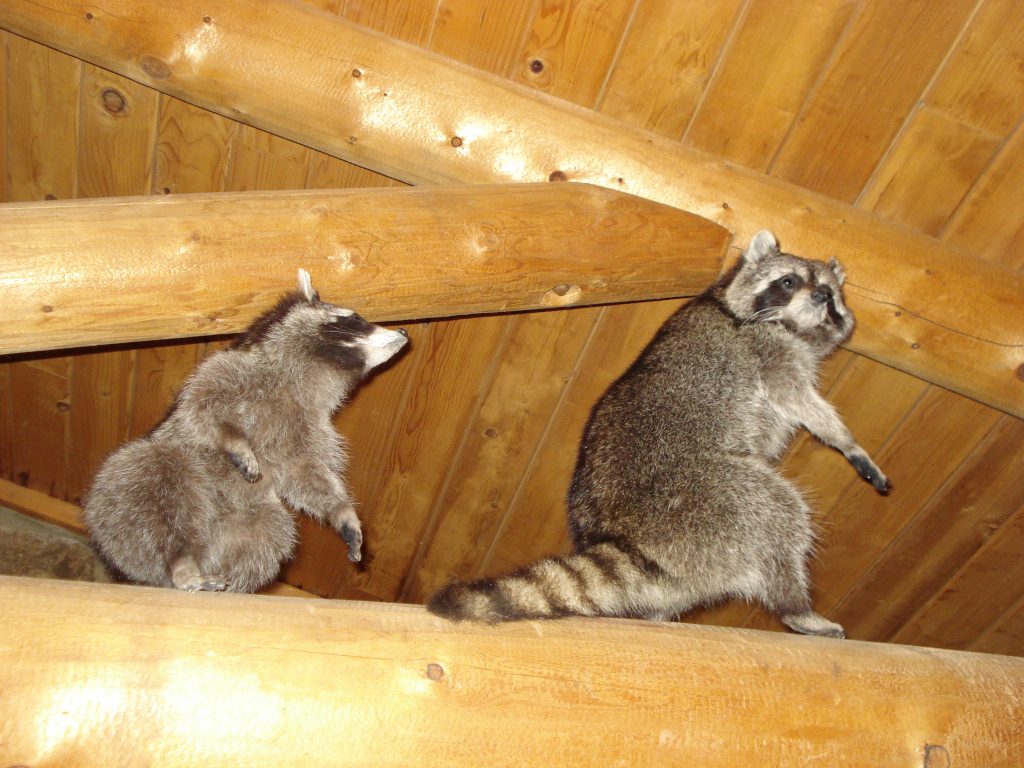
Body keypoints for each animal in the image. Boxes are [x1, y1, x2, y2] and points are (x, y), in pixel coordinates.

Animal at [83, 270, 408, 593]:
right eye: (356, 318)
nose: (405, 332)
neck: (316, 375)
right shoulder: (232, 368)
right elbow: (202, 406)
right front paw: (233, 440)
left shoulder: (312, 427)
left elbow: (306, 474)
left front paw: (341, 511)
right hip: (118, 510)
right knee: (153, 467)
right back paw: (180, 563)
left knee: (273, 528)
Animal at [428, 230, 889, 637]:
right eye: (790, 281)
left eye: (828, 292)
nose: (820, 298)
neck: (794, 328)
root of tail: (622, 533)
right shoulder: (766, 346)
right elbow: (792, 394)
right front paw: (847, 441)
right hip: (696, 491)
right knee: (776, 508)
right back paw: (794, 603)